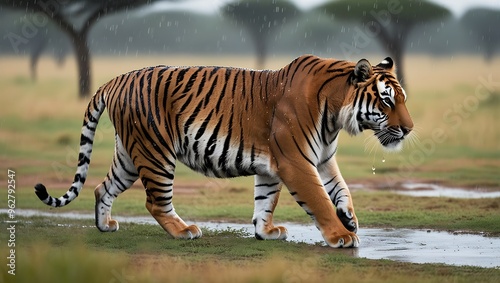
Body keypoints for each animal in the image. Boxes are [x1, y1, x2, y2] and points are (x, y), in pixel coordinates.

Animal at [34, 55, 410, 248]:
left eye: (403, 99)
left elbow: (327, 191)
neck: (334, 115)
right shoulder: (295, 162)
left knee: (102, 187)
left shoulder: (314, 160)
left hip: (129, 154)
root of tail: (115, 79)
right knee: (155, 201)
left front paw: (267, 231)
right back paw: (183, 231)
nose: (408, 129)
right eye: (387, 101)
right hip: (156, 153)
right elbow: (318, 200)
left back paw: (105, 225)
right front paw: (341, 235)